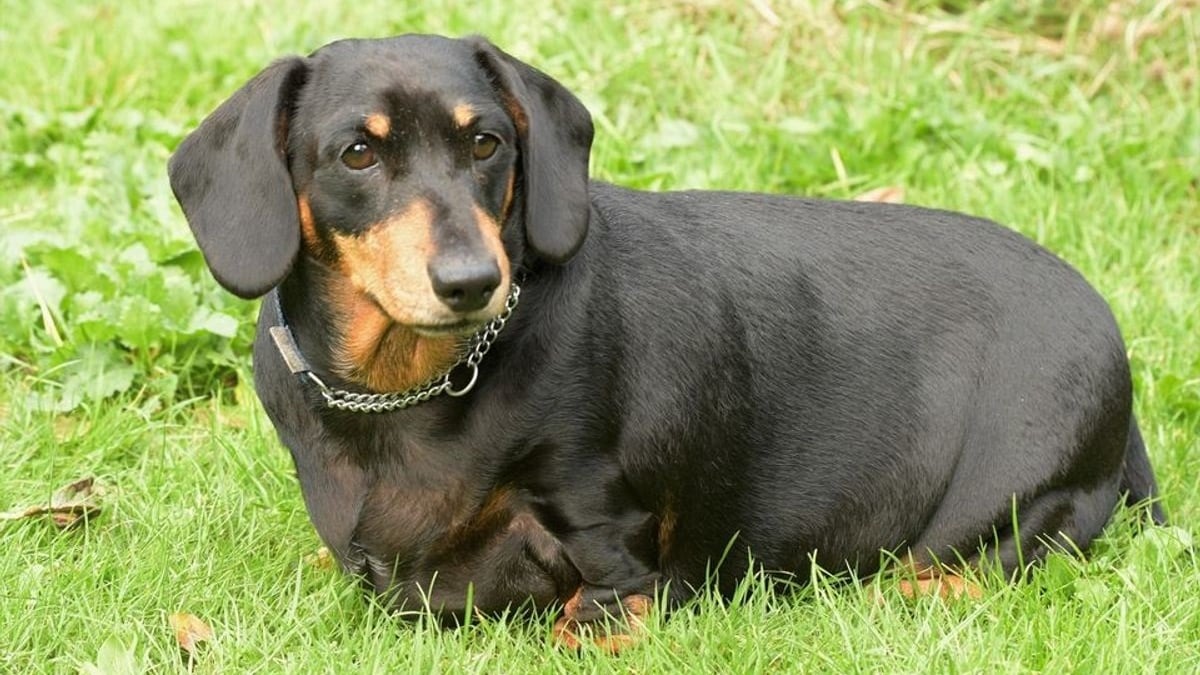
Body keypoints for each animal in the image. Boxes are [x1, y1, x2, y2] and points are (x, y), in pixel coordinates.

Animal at [166, 34, 1161, 643]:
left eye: (487, 143)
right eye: (358, 153)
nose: (474, 282)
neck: (409, 392)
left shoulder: (611, 545)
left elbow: (588, 610)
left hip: (1008, 499)